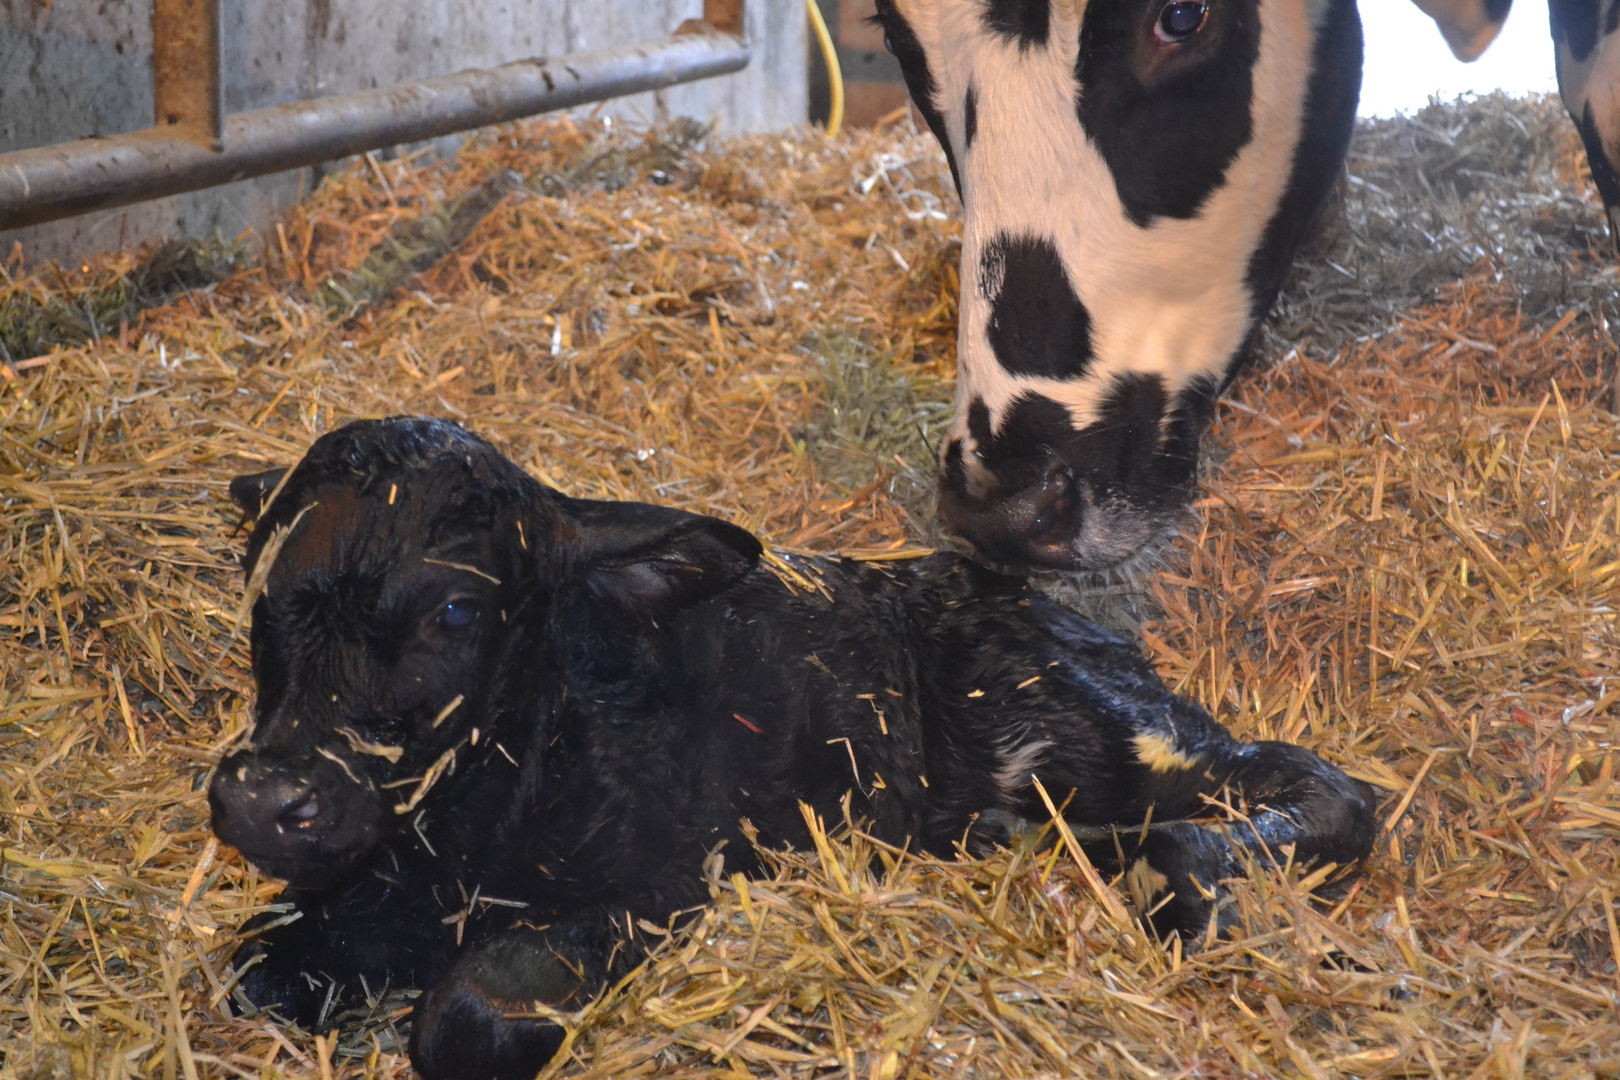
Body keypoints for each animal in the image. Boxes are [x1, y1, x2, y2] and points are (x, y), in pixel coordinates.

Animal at [208, 417, 1373, 1080]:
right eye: (259, 586)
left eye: (453, 611)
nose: (265, 799)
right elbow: (255, 973)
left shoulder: (661, 883)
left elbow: (466, 1013)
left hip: (1091, 729)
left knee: (1317, 788)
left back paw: (1186, 879)